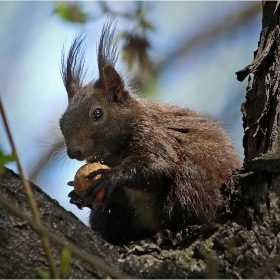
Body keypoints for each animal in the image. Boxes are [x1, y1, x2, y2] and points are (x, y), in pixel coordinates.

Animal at [60, 21, 242, 245]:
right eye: (61, 121)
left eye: (97, 113)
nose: (73, 152)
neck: (115, 153)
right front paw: (74, 194)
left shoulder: (154, 136)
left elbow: (158, 165)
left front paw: (112, 176)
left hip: (190, 182)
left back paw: (172, 232)